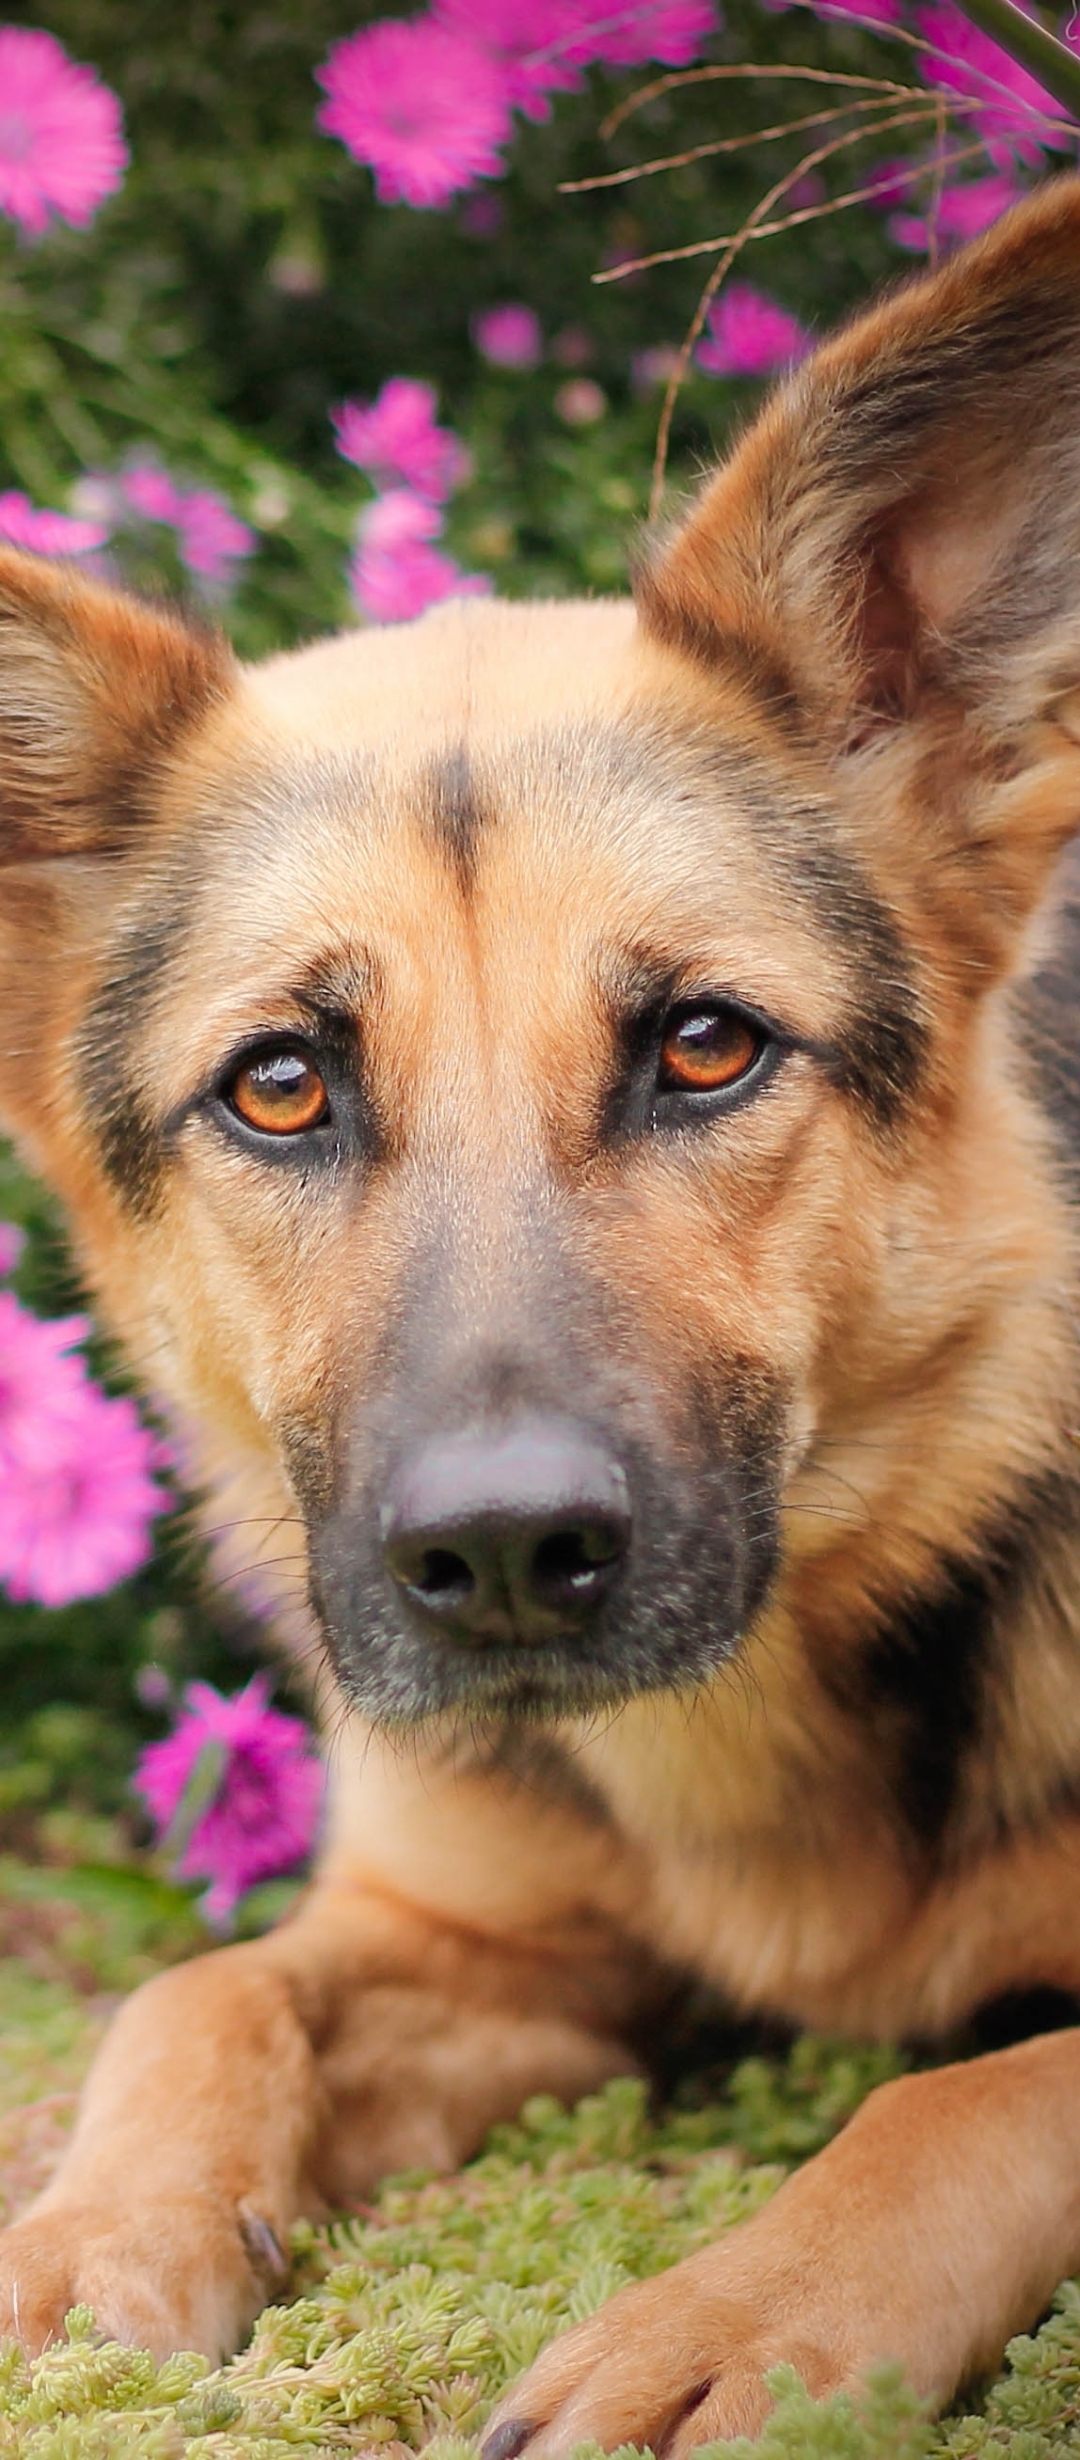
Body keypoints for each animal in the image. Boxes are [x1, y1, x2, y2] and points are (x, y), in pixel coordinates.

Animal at [4, 168, 1080, 2440]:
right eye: (281, 1086)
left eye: (704, 1046)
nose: (500, 1558)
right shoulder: (497, 1954)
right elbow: (197, 1985)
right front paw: (96, 2228)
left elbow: (966, 2095)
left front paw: (737, 2325)